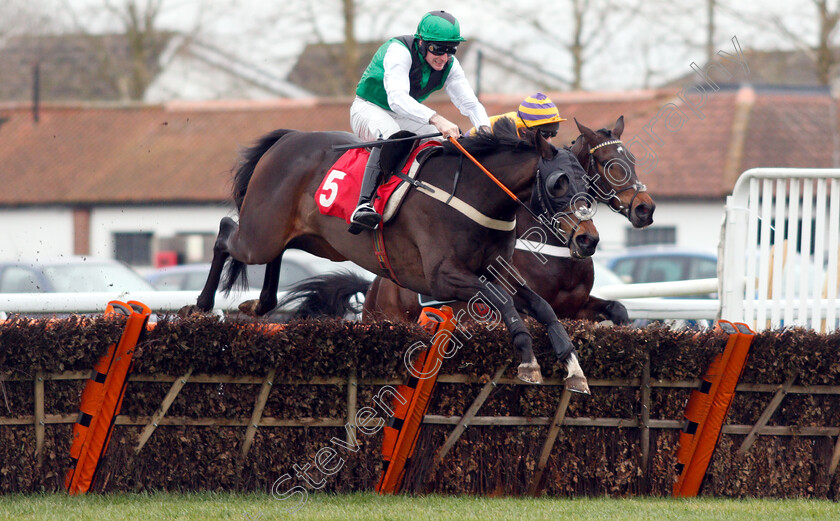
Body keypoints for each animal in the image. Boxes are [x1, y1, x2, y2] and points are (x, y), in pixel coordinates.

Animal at [188, 119, 600, 390]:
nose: (588, 240)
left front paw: (573, 367)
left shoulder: (498, 271)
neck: (475, 193)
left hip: (314, 240)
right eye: (558, 183)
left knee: (278, 250)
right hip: (260, 234)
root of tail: (287, 139)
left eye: (588, 183)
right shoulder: (443, 276)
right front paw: (529, 361)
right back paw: (202, 304)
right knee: (225, 233)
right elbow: (505, 302)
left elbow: (542, 306)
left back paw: (261, 303)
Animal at [360, 116, 656, 322]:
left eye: (632, 159)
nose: (645, 209)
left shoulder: (575, 307)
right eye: (608, 163)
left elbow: (618, 309)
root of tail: (374, 287)